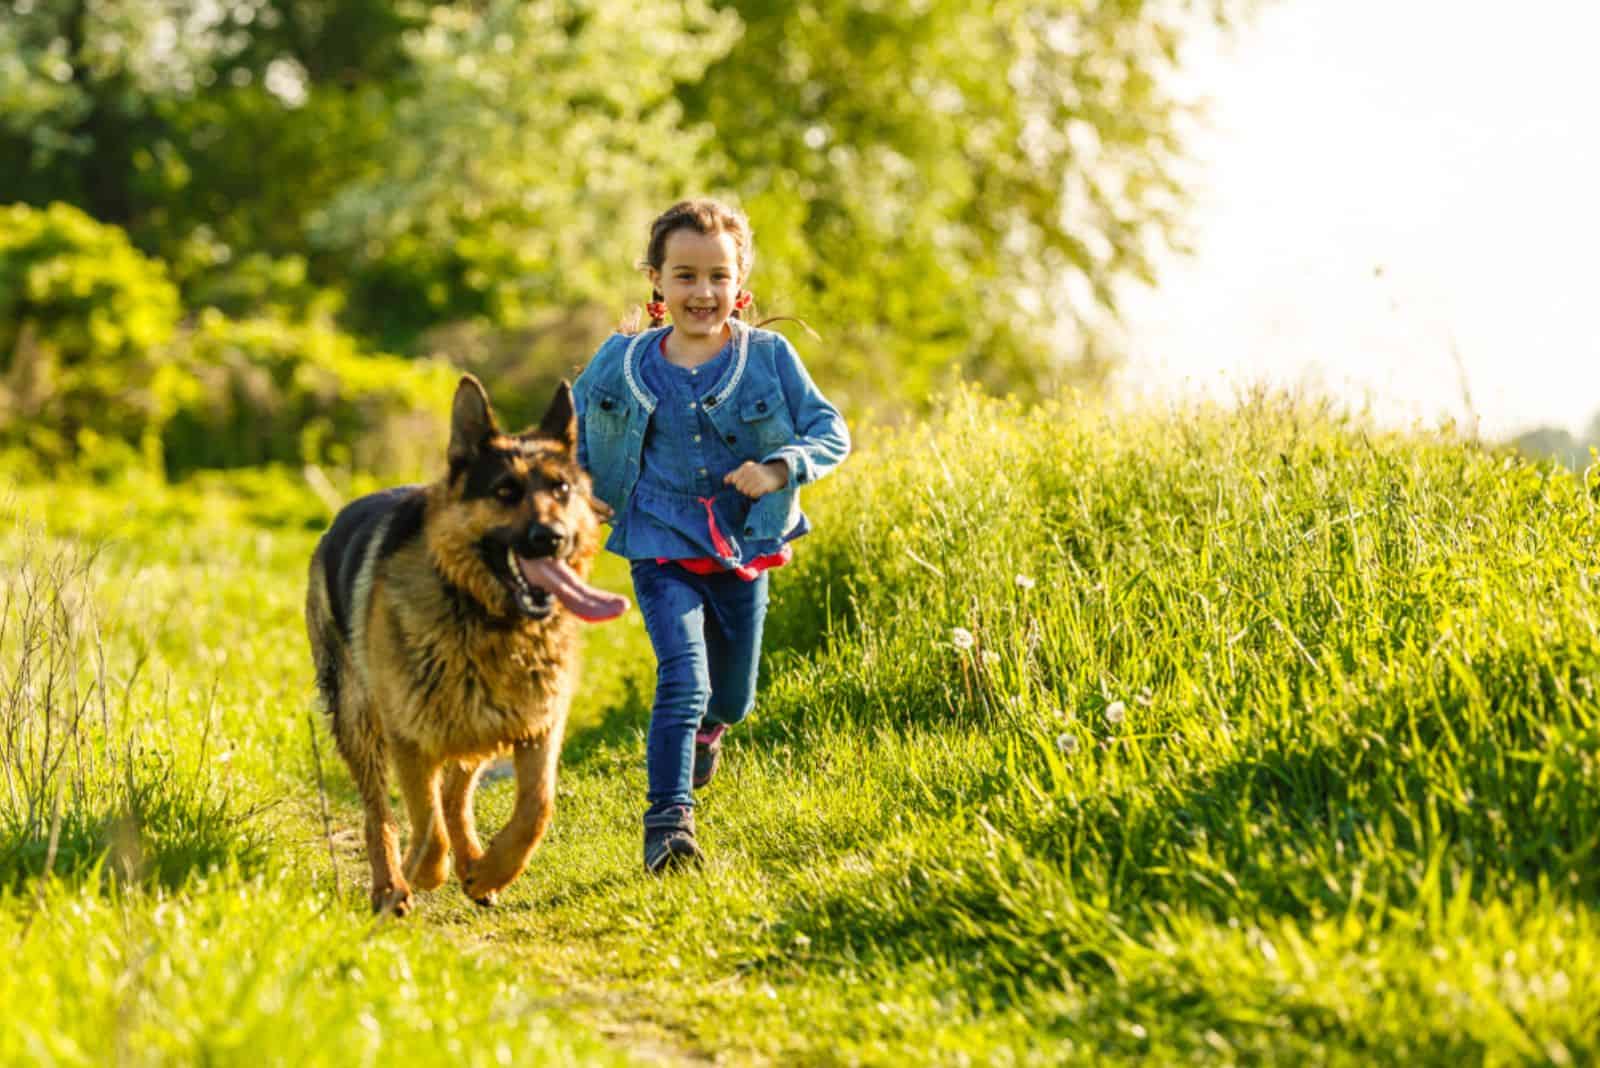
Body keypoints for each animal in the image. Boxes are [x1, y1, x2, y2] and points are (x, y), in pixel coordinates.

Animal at [302, 374, 627, 908]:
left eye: (561, 489)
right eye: (505, 491)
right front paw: (424, 872)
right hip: (359, 720)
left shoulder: (537, 724)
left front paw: (494, 869)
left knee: (456, 793)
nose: (552, 538)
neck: (484, 614)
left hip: (477, 723)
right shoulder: (409, 736)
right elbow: (425, 823)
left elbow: (536, 807)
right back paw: (391, 884)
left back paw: (474, 865)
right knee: (381, 813)